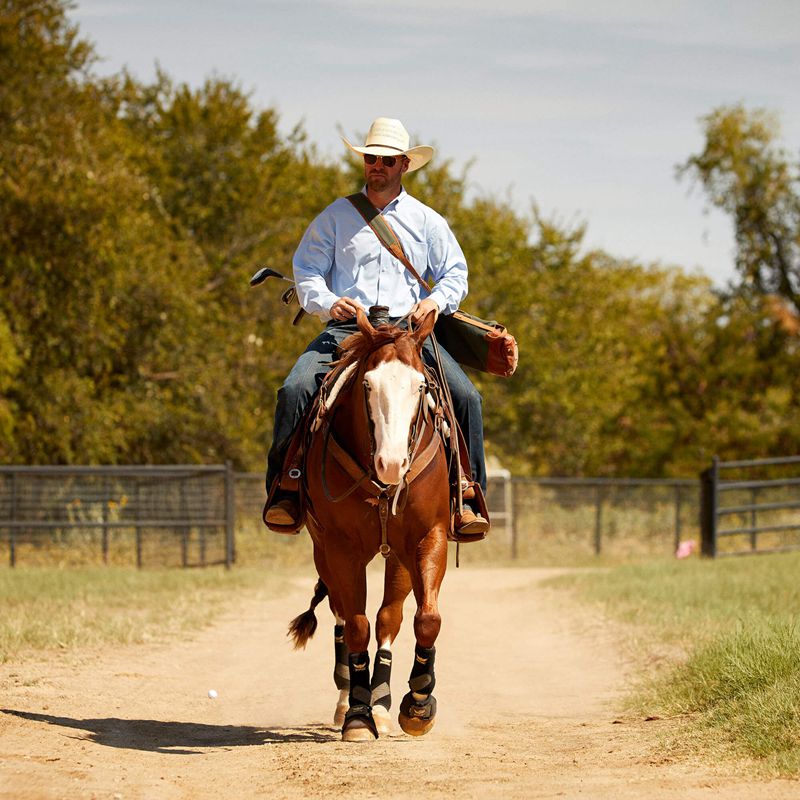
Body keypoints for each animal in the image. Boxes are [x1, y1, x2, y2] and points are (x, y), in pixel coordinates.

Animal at [288, 304, 454, 740]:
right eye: (366, 384)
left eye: (420, 386)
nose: (391, 463)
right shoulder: (340, 548)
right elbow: (357, 625)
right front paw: (358, 715)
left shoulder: (424, 539)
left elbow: (422, 618)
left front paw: (416, 705)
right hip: (324, 552)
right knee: (342, 617)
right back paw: (349, 698)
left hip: (394, 556)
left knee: (388, 617)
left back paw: (381, 702)